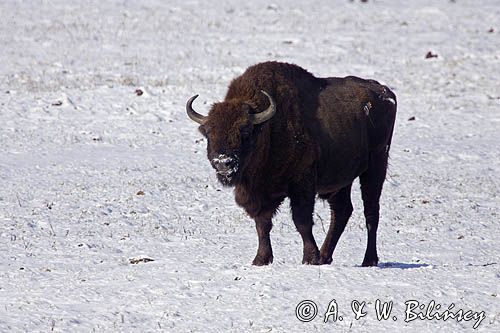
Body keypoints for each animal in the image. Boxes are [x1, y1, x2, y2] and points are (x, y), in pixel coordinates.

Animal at [186, 61, 396, 266]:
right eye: (208, 133)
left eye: (245, 131)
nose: (223, 162)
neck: (267, 129)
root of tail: (385, 92)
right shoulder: (259, 194)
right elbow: (262, 224)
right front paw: (261, 260)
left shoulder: (302, 184)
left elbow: (301, 220)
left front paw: (310, 258)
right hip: (340, 181)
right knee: (342, 211)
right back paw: (326, 256)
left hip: (376, 165)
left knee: (371, 211)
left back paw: (368, 260)